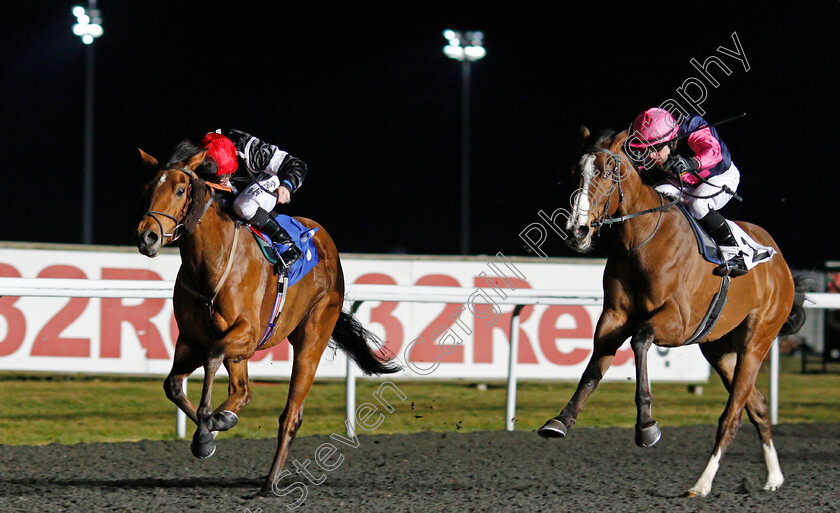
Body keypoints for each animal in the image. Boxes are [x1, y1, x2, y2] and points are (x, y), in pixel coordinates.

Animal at [135, 146, 400, 494]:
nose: (148, 237)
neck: (211, 264)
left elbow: (212, 357)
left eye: (180, 190)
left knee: (290, 414)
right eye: (147, 189)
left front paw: (207, 430)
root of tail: (326, 242)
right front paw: (210, 431)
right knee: (243, 390)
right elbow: (173, 385)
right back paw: (226, 420)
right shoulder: (191, 340)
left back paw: (270, 481)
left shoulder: (245, 333)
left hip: (312, 336)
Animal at [540, 127, 808, 496]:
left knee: (733, 415)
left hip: (757, 338)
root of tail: (778, 261)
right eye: (573, 174)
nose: (576, 230)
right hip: (719, 348)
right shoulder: (613, 317)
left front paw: (646, 426)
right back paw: (773, 477)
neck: (642, 240)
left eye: (608, 173)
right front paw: (560, 420)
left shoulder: (678, 322)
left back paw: (702, 482)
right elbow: (593, 369)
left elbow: (640, 341)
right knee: (757, 404)